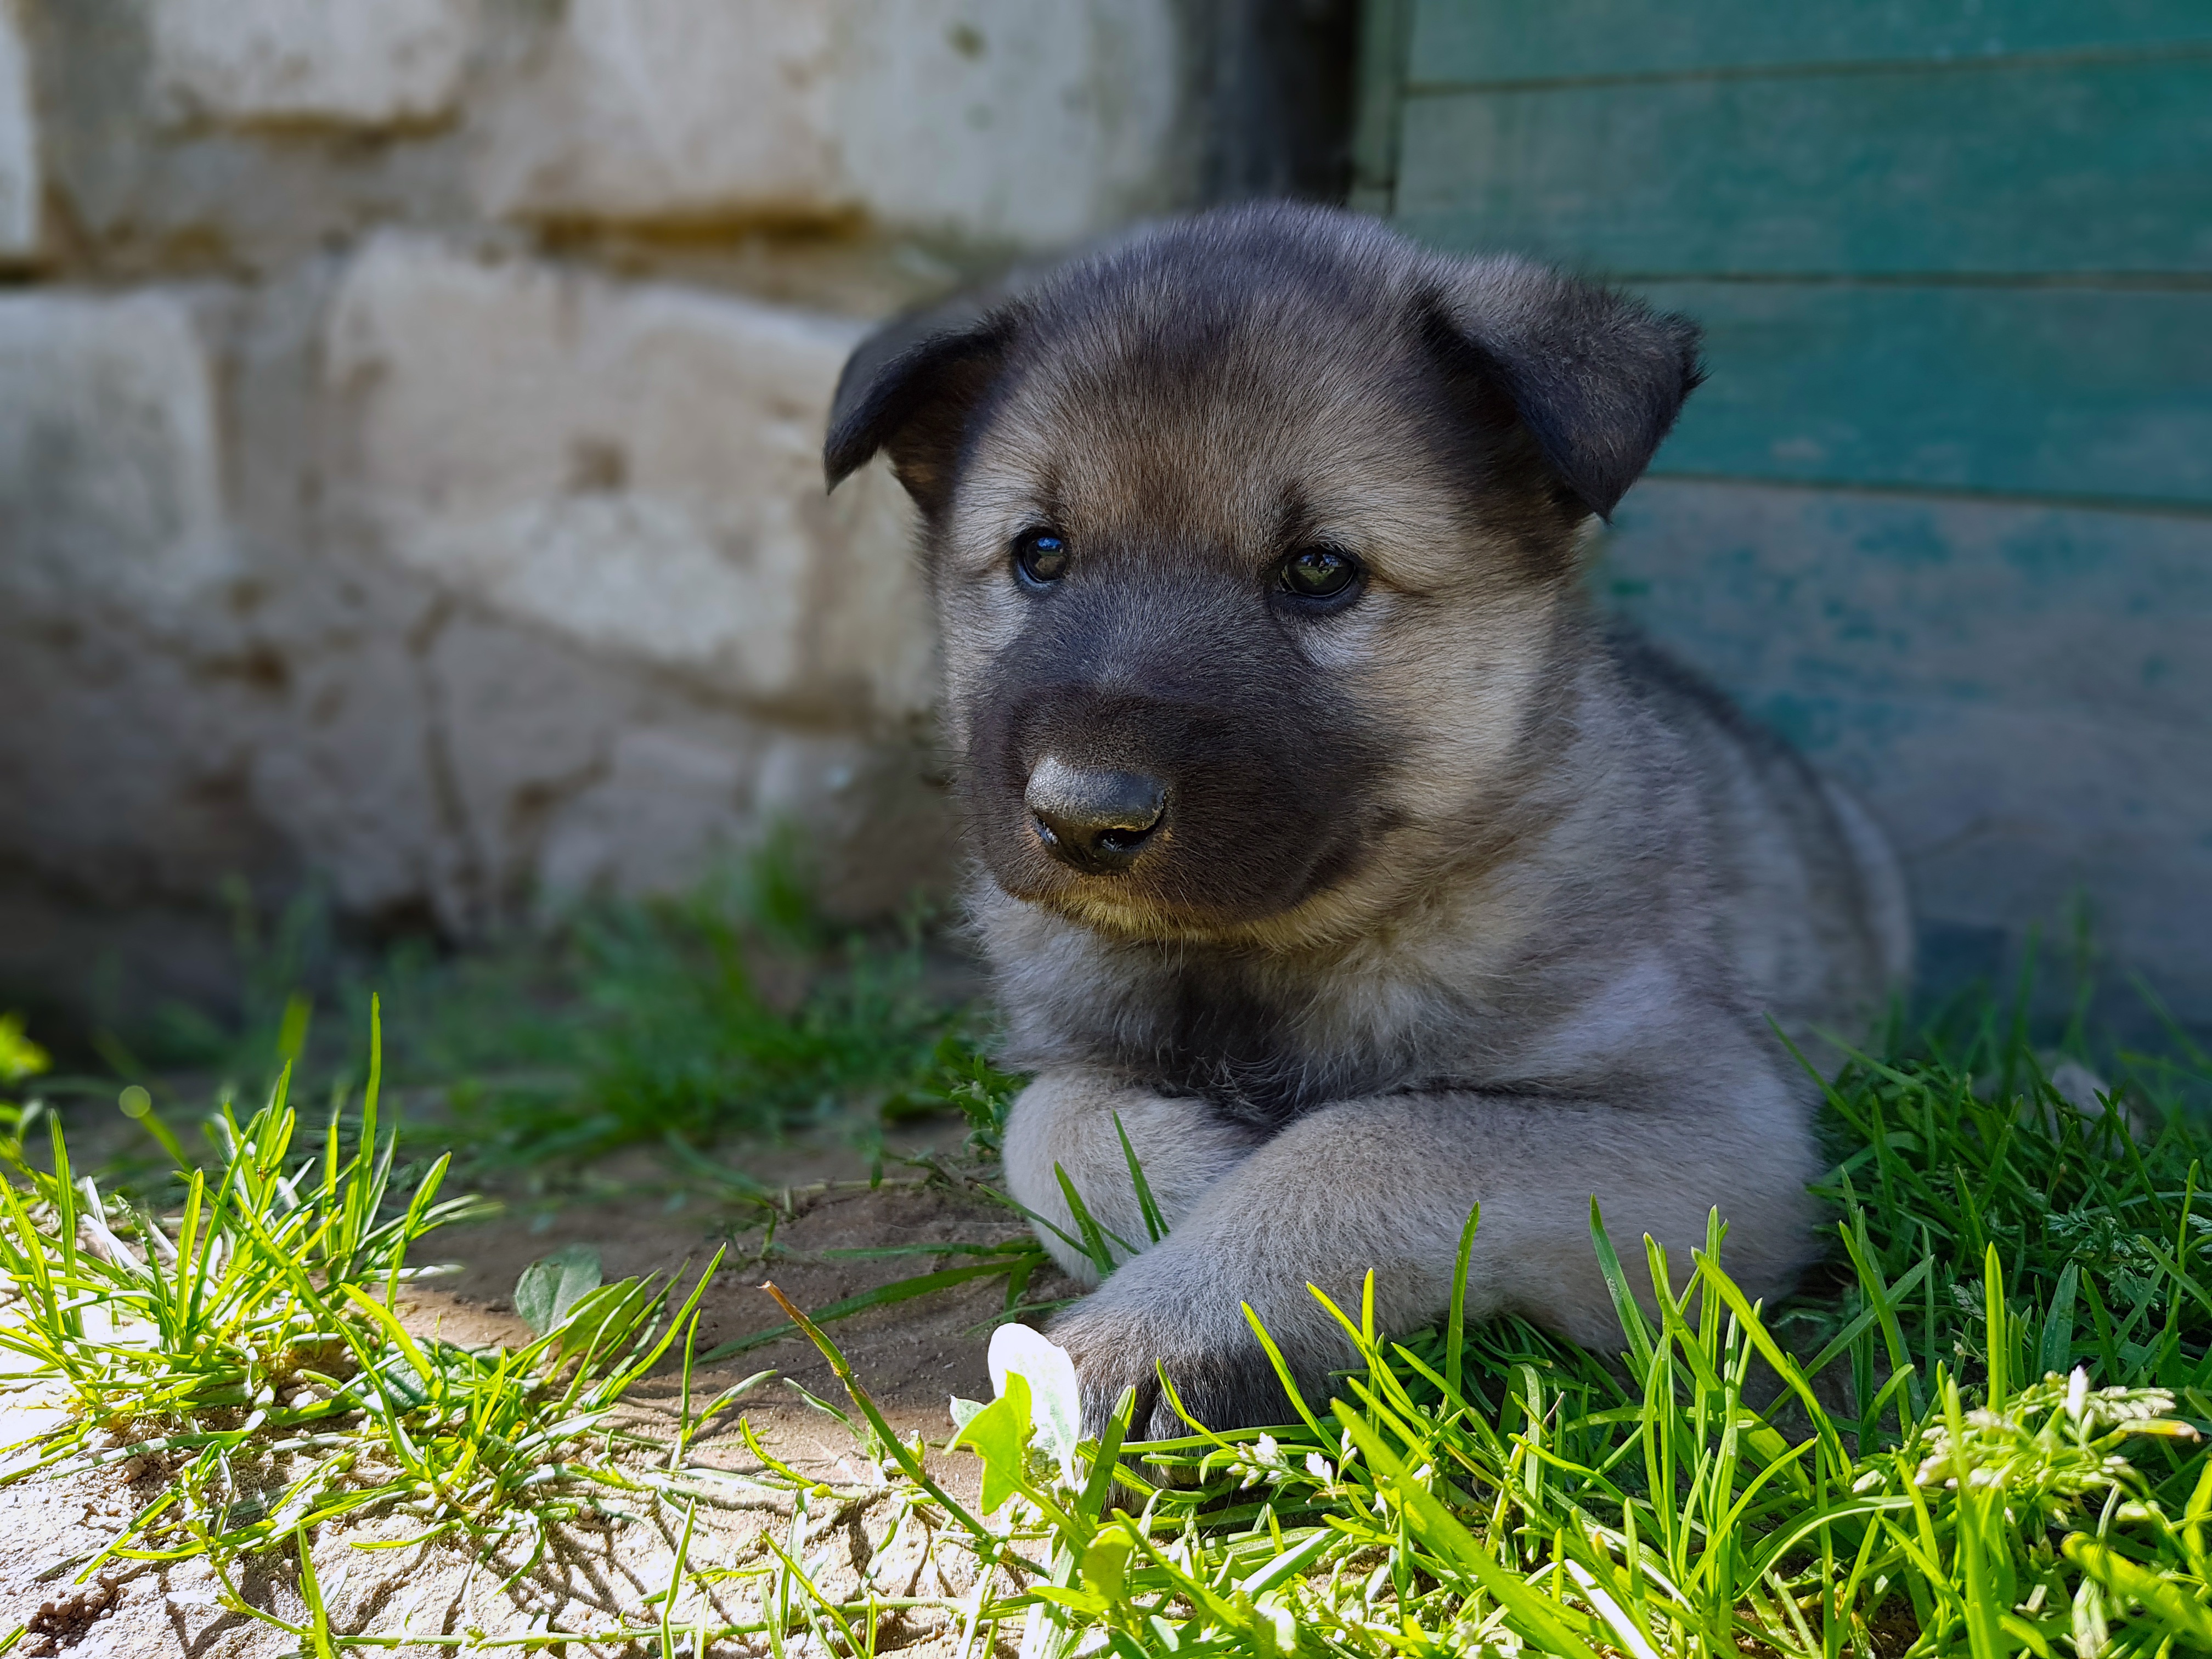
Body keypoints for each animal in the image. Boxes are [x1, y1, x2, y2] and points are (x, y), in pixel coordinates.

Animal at [822, 198, 1911, 1442]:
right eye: (1039, 554)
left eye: (1319, 570)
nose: (1083, 818)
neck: (1252, 965)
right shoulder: (1073, 1051)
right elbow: (1045, 1124)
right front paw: (1190, 1177)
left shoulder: (1717, 1124)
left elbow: (1382, 1136)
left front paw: (1175, 1318)